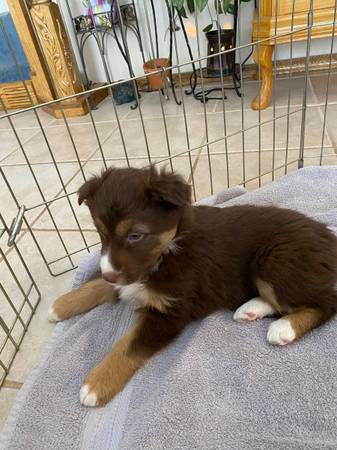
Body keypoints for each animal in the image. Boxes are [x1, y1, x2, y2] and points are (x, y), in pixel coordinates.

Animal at [48, 165, 336, 408]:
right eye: (101, 234)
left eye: (135, 235)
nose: (110, 275)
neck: (169, 247)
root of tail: (328, 237)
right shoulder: (130, 275)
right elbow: (98, 285)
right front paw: (60, 305)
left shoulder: (170, 311)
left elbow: (128, 345)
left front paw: (96, 384)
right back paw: (250, 310)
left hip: (276, 260)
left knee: (324, 303)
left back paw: (284, 328)